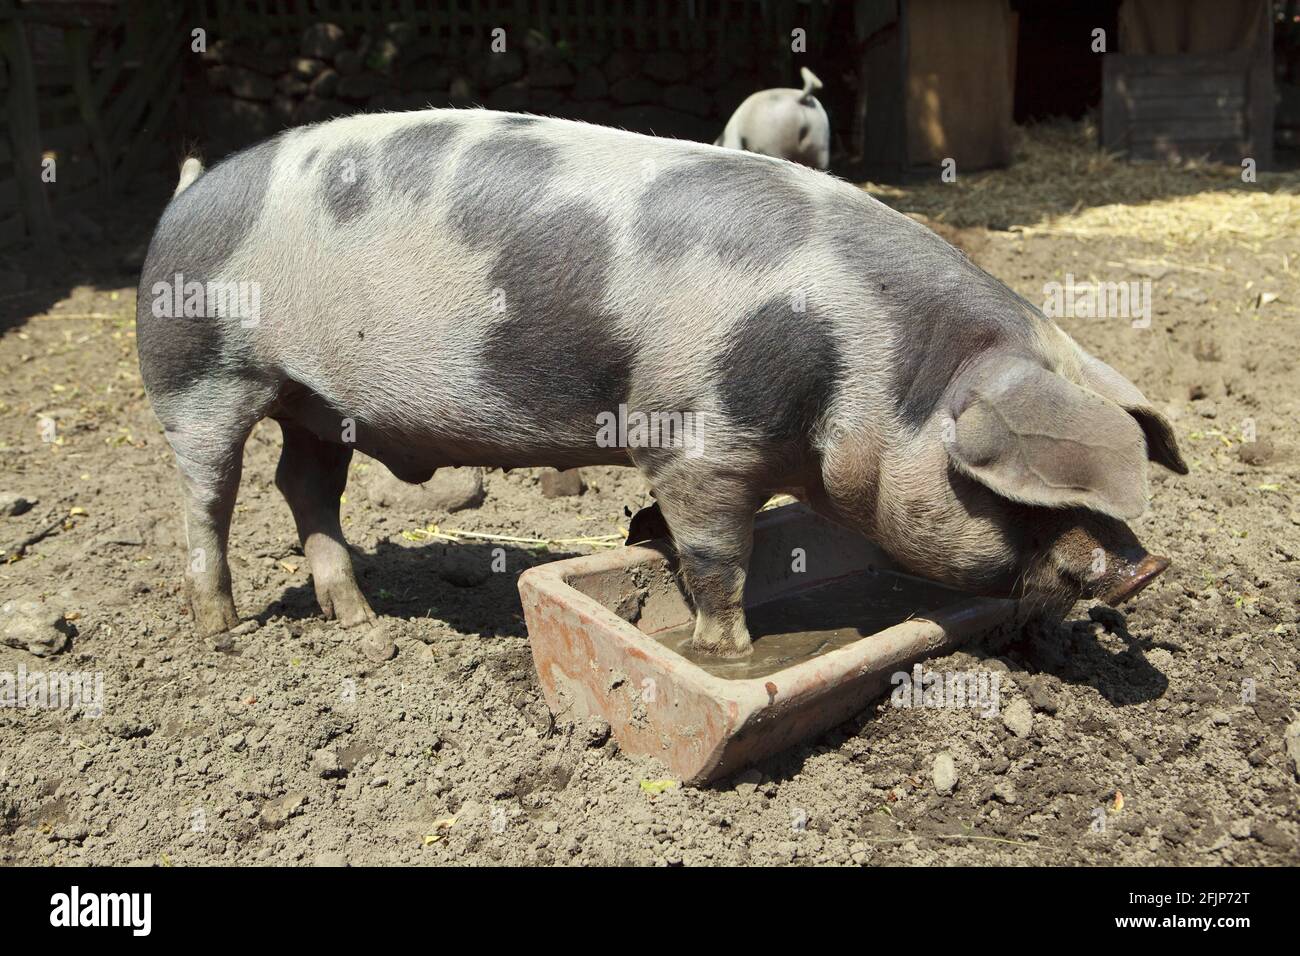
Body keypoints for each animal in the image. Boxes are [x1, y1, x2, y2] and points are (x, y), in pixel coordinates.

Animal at [136, 108, 1186, 658]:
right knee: (207, 492)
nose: (1145, 567)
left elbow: (674, 539)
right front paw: (726, 652)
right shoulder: (698, 438)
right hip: (198, 370)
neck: (877, 369)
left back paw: (357, 621)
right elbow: (719, 555)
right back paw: (219, 629)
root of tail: (183, 194)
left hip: (319, 404)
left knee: (302, 484)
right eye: (1002, 491)